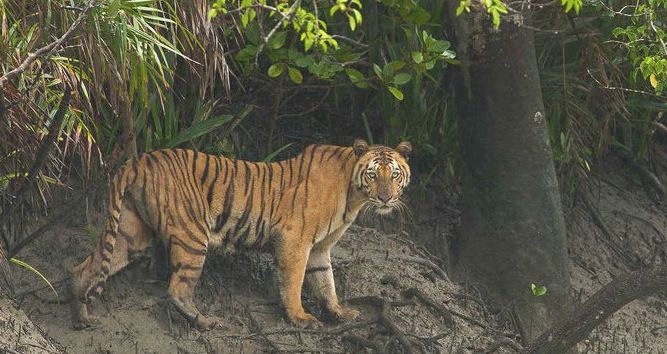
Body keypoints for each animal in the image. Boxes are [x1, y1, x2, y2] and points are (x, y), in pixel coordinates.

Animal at [69, 138, 412, 330]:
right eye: (374, 174)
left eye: (395, 175)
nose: (385, 198)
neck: (354, 195)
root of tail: (139, 160)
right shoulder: (296, 240)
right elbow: (295, 281)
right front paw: (300, 318)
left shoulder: (319, 249)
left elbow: (326, 281)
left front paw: (340, 313)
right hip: (193, 235)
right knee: (177, 289)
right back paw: (205, 322)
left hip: (130, 232)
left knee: (85, 268)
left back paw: (82, 316)